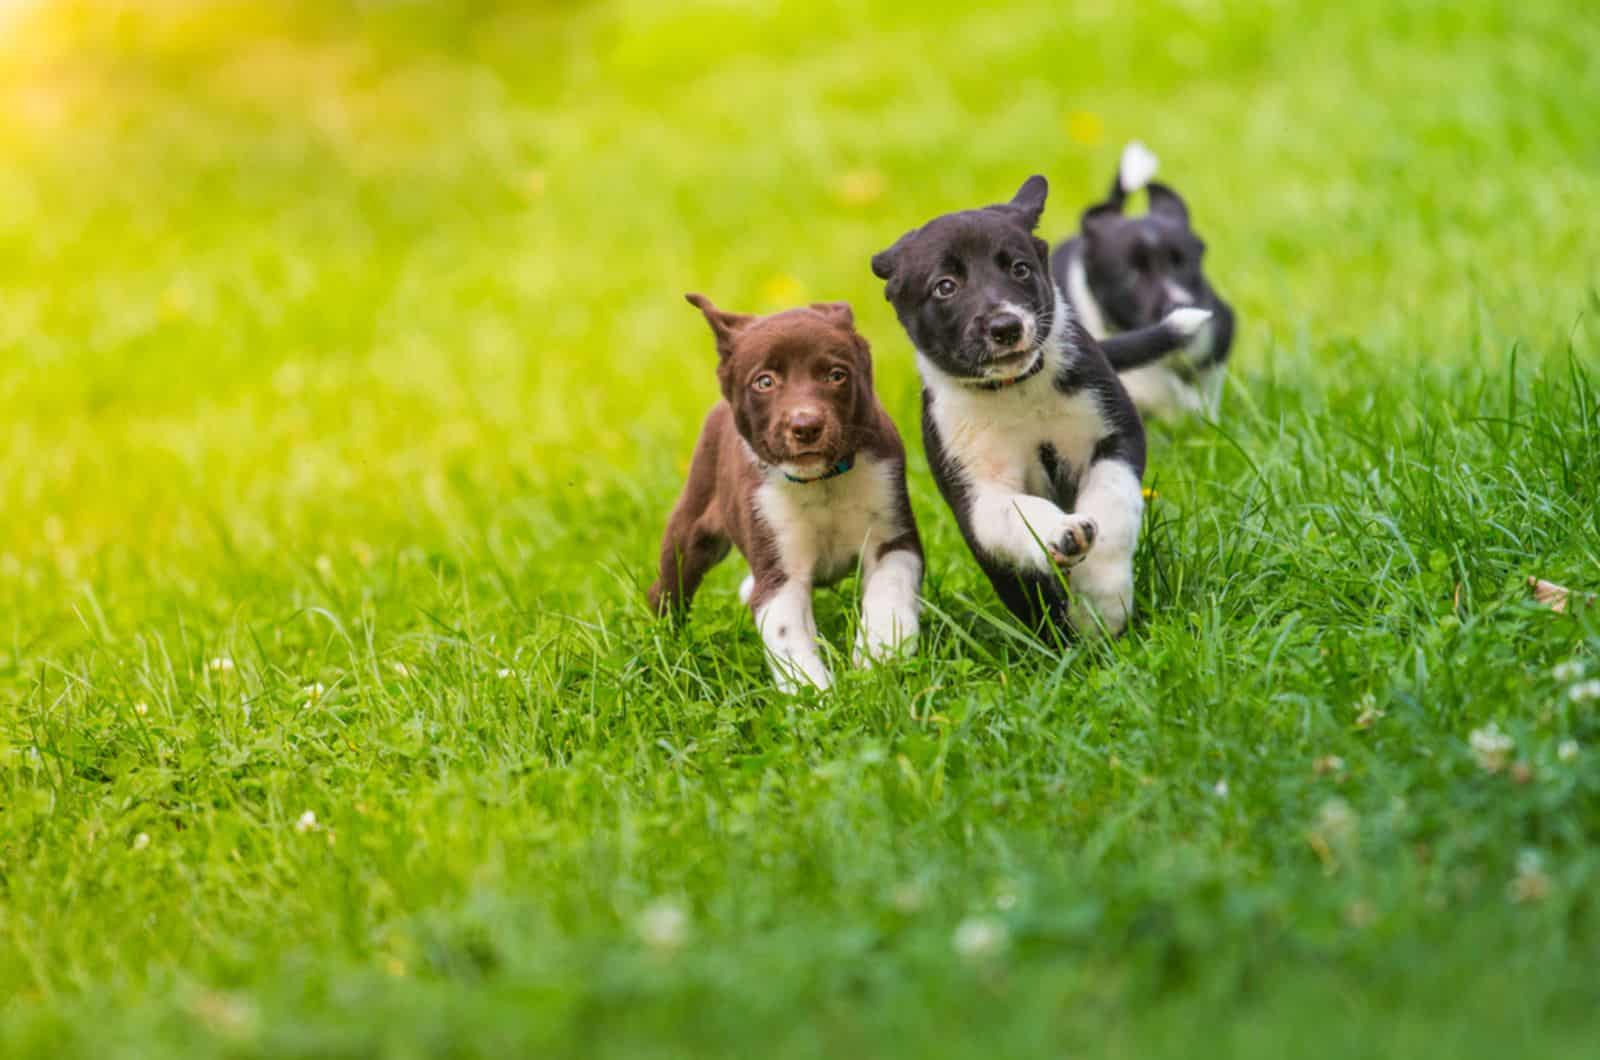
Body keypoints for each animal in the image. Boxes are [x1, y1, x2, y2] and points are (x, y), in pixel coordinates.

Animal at [649, 294, 928, 694]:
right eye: (764, 382)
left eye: (836, 375)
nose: (806, 426)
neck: (821, 481)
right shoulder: (780, 574)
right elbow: (788, 638)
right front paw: (816, 696)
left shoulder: (894, 536)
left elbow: (890, 589)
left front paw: (881, 651)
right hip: (690, 530)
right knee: (668, 590)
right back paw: (666, 651)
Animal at [876, 178, 1209, 640]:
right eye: (945, 286)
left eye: (1019, 269)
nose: (1006, 326)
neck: (1017, 392)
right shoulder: (978, 495)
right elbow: (1019, 514)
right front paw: (1060, 533)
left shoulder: (1115, 437)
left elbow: (1113, 503)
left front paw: (1103, 602)